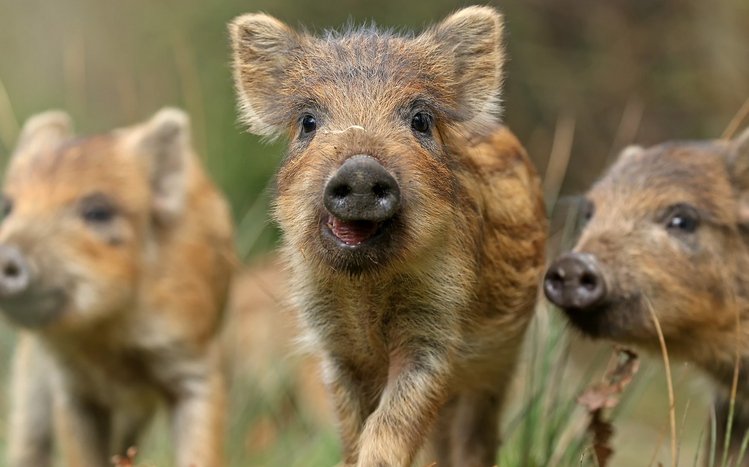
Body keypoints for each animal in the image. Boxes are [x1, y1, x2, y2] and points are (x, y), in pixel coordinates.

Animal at [0, 108, 234, 467]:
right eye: (7, 207)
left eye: (98, 211)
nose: (6, 255)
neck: (106, 335)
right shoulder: (69, 387)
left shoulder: (196, 365)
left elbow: (200, 451)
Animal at [229, 6, 547, 467]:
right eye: (308, 122)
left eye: (420, 120)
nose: (361, 170)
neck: (365, 290)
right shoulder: (333, 346)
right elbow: (353, 429)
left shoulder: (435, 330)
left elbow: (391, 423)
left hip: (500, 365)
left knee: (475, 435)